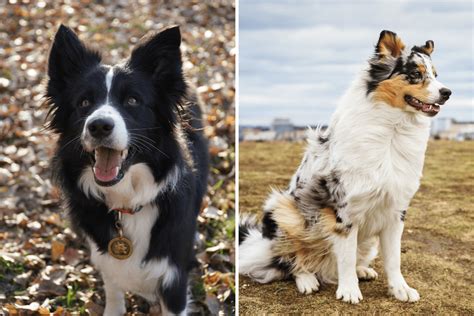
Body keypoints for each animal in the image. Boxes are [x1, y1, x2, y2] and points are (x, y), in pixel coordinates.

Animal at [44, 24, 207, 314]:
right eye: (84, 103)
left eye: (132, 100)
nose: (99, 126)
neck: (127, 201)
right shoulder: (107, 260)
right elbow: (114, 291)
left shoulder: (174, 277)